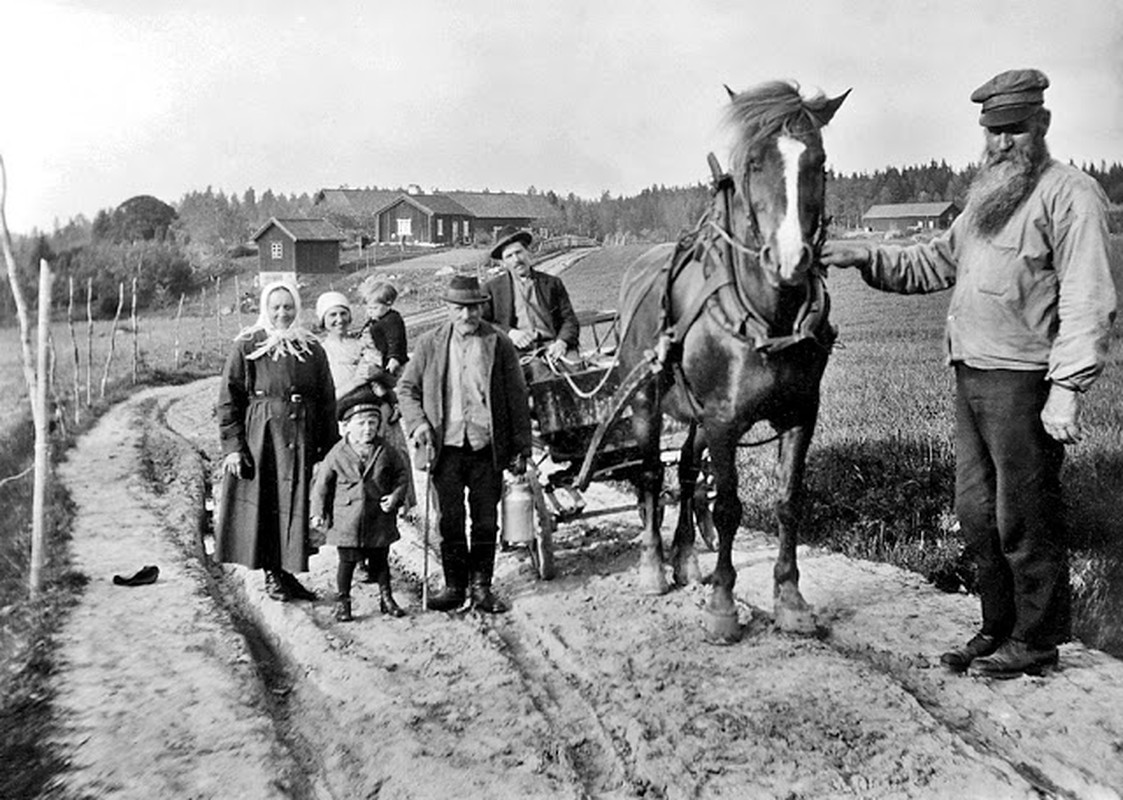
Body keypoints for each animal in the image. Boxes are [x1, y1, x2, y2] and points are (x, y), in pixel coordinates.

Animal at [610, 81, 844, 642]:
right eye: (754, 162)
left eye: (819, 161)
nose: (790, 259)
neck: (770, 319)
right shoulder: (723, 421)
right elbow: (730, 508)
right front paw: (721, 604)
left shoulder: (799, 415)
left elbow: (788, 501)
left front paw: (790, 598)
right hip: (646, 403)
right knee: (650, 475)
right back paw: (653, 567)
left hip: (696, 417)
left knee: (686, 470)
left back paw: (686, 558)